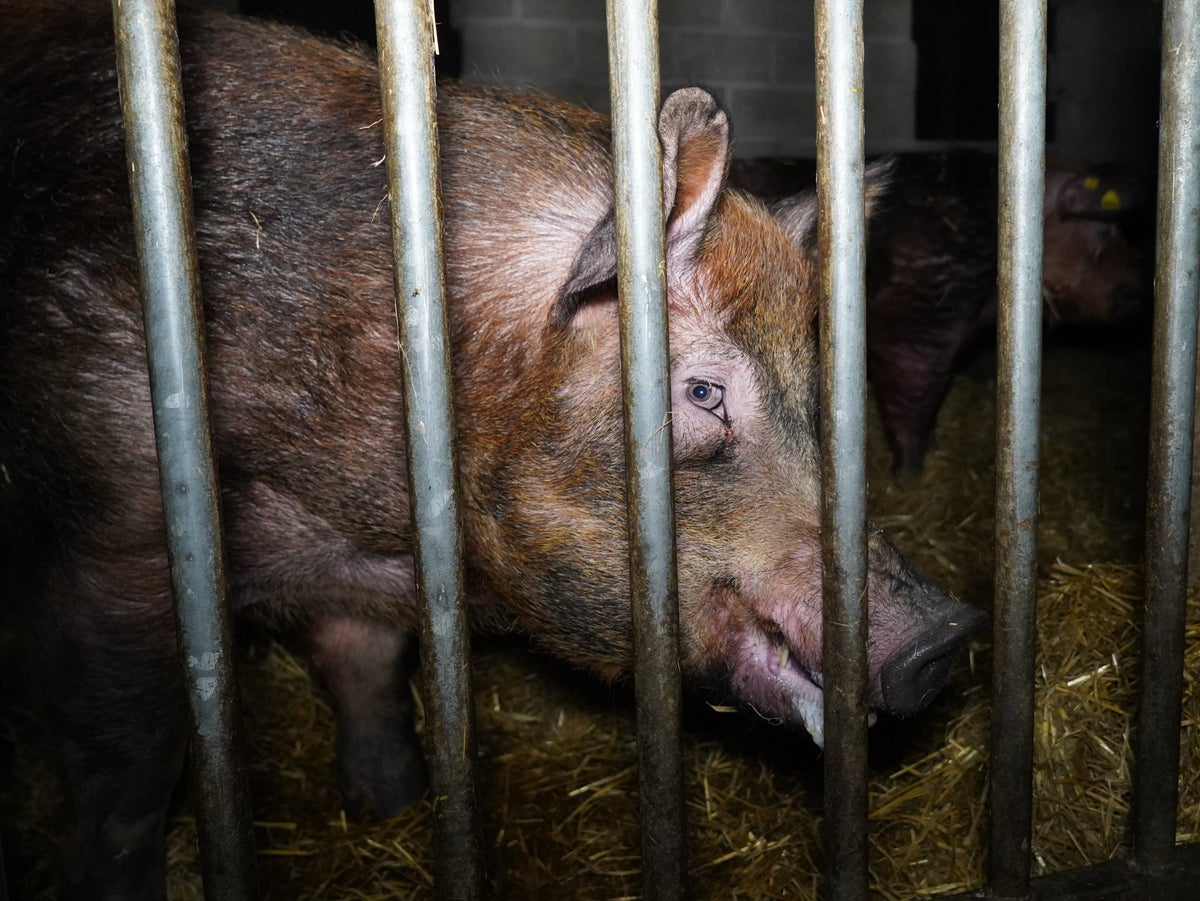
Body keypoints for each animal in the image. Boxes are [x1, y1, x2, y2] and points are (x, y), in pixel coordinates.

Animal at [0, 3, 984, 897]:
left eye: (818, 392)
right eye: (704, 393)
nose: (946, 633)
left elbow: (366, 667)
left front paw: (393, 805)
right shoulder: (115, 518)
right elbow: (130, 755)